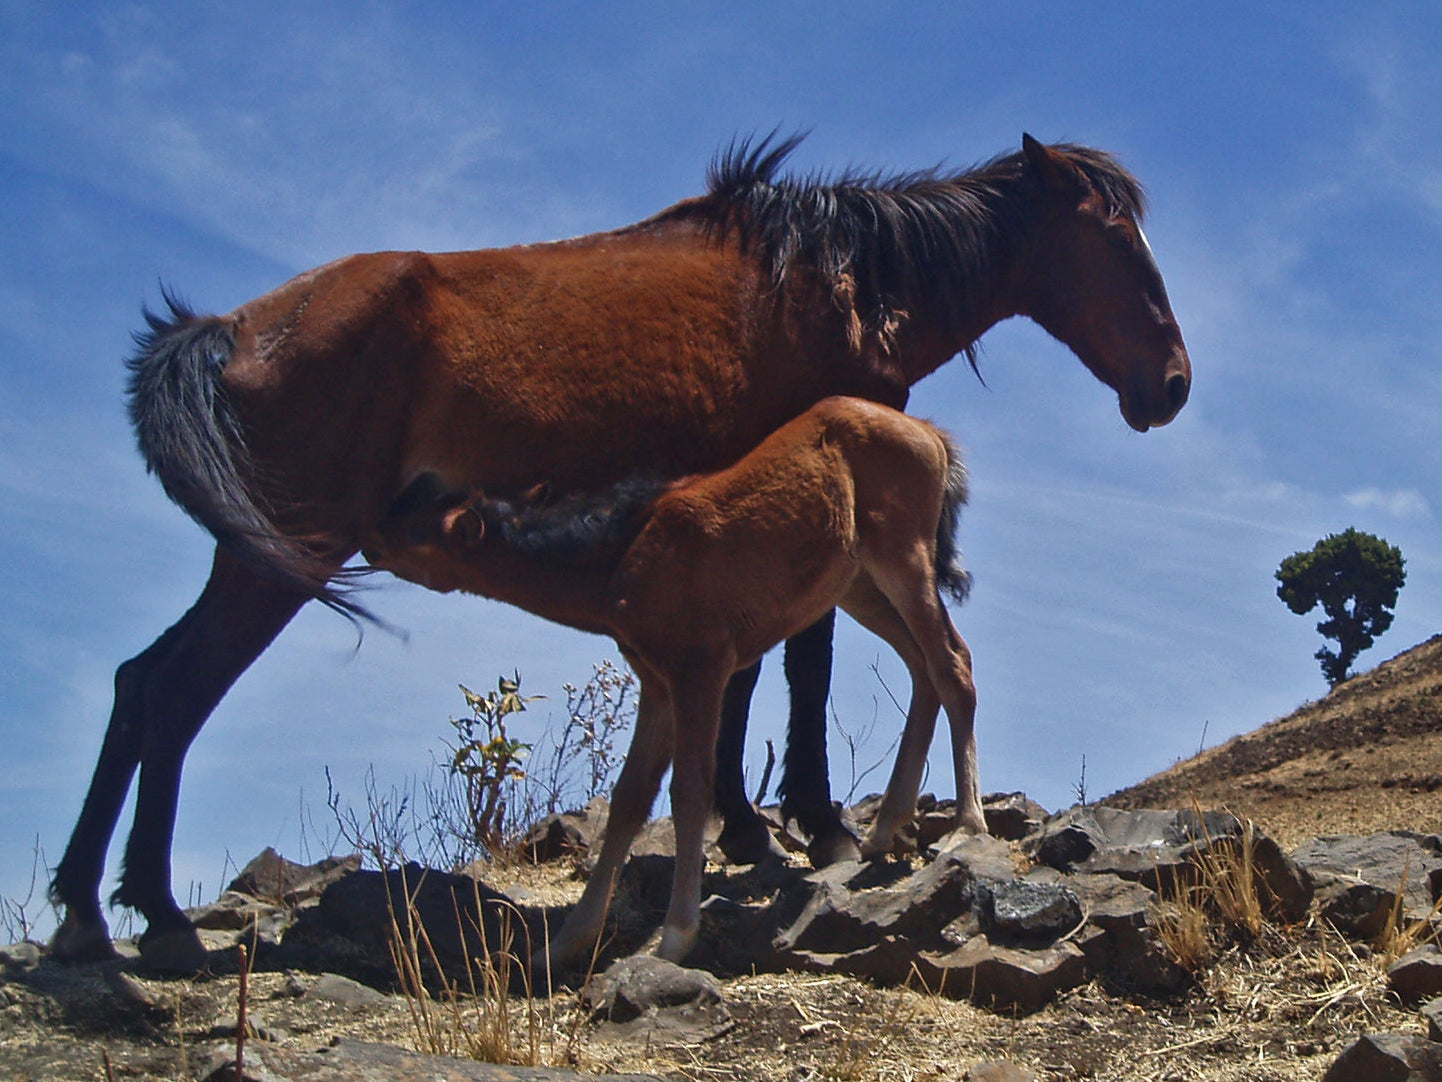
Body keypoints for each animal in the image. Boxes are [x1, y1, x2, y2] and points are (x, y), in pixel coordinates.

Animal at [366, 395, 986, 969]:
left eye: (415, 534)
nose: (367, 538)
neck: (624, 552)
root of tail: (927, 432)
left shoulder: (700, 668)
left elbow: (690, 791)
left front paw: (675, 937)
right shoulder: (658, 681)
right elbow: (629, 798)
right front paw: (566, 942)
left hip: (901, 557)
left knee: (952, 661)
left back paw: (965, 824)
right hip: (857, 584)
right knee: (922, 667)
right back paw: (884, 830)